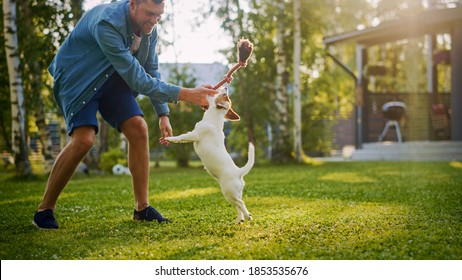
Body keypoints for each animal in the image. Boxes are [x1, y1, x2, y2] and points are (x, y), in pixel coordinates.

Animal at [163, 89, 256, 223]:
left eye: (224, 95)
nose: (226, 88)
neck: (214, 118)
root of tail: (239, 172)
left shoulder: (194, 135)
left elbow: (181, 137)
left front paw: (170, 139)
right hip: (235, 193)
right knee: (238, 205)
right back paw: (240, 219)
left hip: (229, 192)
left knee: (241, 203)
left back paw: (248, 216)